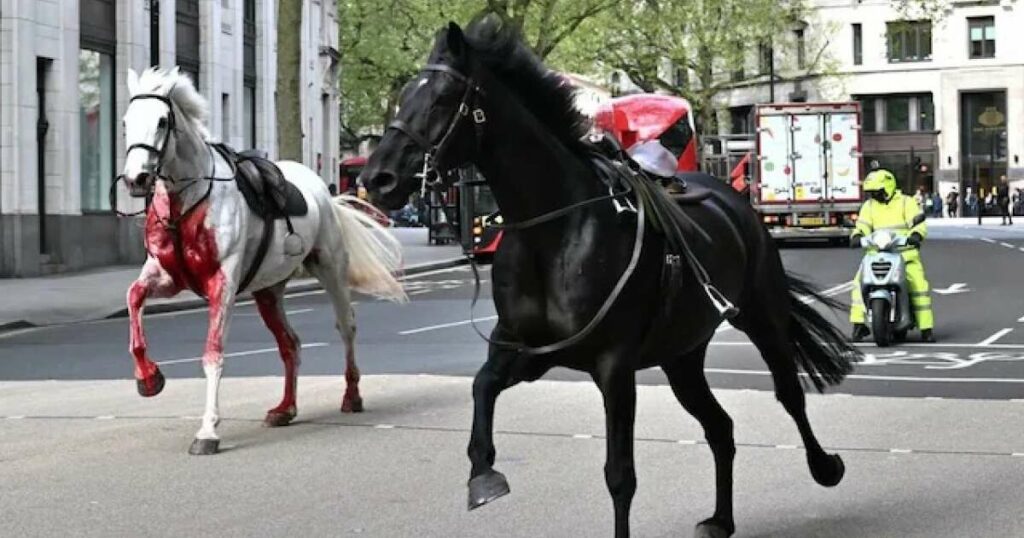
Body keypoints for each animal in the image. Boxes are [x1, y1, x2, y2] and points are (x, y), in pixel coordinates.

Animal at [120, 66, 407, 452]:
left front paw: (208, 431)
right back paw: (285, 408)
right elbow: (134, 298)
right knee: (290, 343)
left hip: (330, 268)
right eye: (125, 121)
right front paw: (149, 378)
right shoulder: (167, 276)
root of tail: (324, 191)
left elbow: (213, 354)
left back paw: (351, 396)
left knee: (346, 326)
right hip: (268, 290)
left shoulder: (222, 284)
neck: (188, 201)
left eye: (162, 121)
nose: (135, 179)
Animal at [360, 17, 856, 536]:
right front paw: (484, 476)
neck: (553, 233)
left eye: (440, 99)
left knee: (789, 393)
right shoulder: (524, 352)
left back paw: (825, 467)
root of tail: (730, 195)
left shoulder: (614, 366)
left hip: (761, 315)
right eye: (403, 97)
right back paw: (721, 519)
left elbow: (620, 475)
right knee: (720, 427)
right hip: (682, 356)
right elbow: (481, 389)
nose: (378, 179)